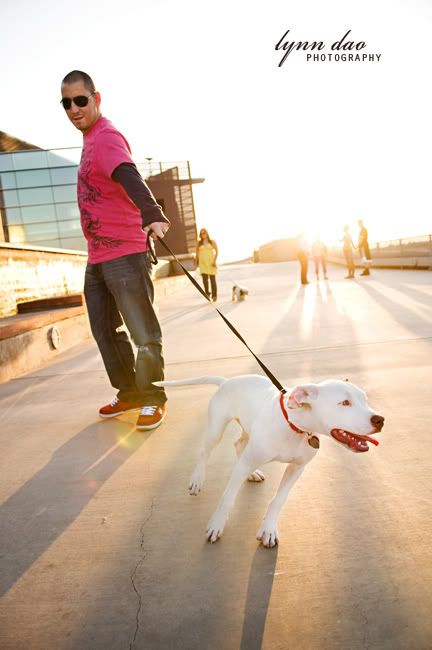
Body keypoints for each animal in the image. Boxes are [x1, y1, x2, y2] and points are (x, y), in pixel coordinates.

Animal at [154, 372, 384, 544]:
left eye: (365, 399)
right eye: (344, 403)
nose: (380, 419)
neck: (294, 426)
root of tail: (227, 381)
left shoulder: (297, 468)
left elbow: (278, 500)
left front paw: (268, 529)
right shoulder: (243, 464)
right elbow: (227, 498)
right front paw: (217, 524)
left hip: (248, 429)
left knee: (238, 444)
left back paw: (253, 473)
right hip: (216, 429)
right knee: (205, 452)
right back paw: (197, 479)